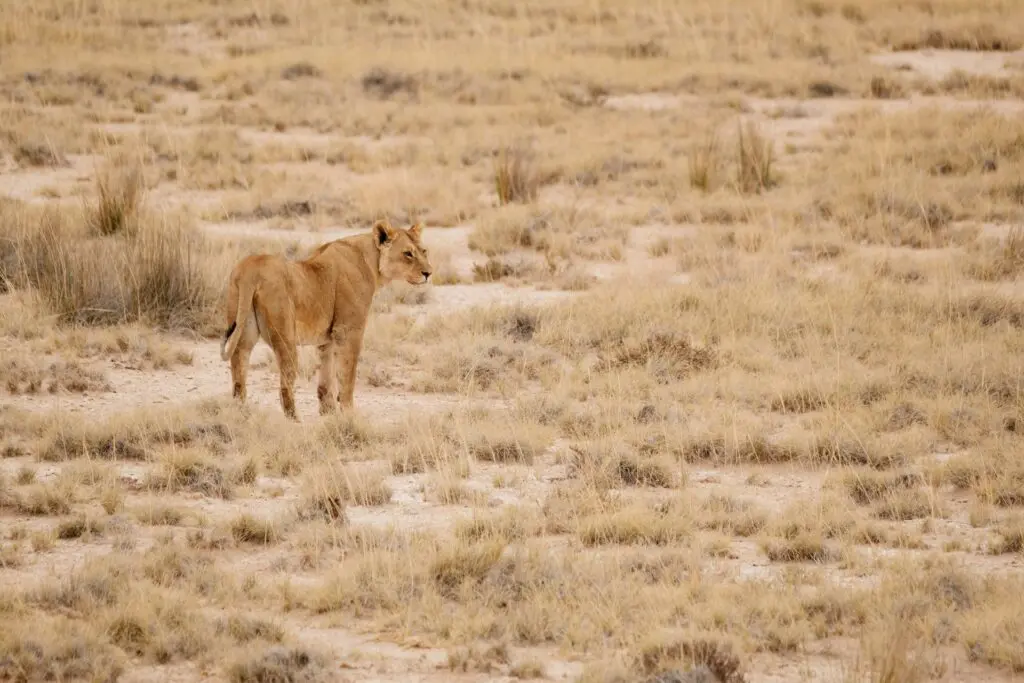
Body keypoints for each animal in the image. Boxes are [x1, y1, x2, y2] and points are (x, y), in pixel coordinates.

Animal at [219, 219, 432, 420]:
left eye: (423, 251)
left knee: (238, 372)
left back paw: (240, 414)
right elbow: (347, 376)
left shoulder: (326, 339)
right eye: (408, 253)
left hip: (244, 330)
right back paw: (295, 422)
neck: (372, 260)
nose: (429, 273)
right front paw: (348, 415)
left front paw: (328, 412)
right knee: (285, 385)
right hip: (285, 337)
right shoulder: (348, 331)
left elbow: (326, 379)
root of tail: (250, 269)